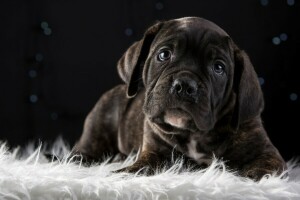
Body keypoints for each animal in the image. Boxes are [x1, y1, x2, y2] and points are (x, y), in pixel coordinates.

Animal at [73, 16, 286, 180]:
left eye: (218, 68)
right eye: (164, 54)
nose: (185, 85)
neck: (193, 133)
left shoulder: (267, 152)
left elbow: (265, 166)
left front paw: (250, 177)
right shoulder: (154, 151)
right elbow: (142, 166)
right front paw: (124, 173)